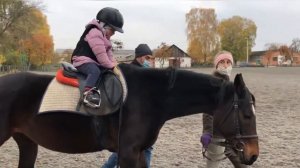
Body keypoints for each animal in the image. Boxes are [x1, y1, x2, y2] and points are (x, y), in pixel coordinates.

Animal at [0, 63, 258, 168]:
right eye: (246, 115)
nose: (253, 155)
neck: (150, 96)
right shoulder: (127, 153)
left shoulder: (139, 152)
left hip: (27, 142)